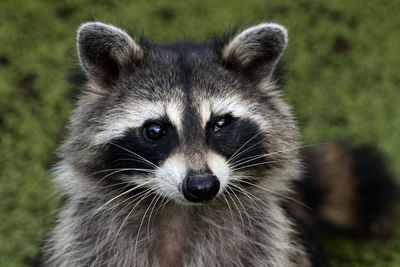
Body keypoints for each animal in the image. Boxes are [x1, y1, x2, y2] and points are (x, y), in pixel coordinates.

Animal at [42, 22, 398, 266]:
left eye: (220, 124)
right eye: (155, 130)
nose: (201, 186)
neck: (180, 213)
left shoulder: (268, 245)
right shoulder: (85, 245)